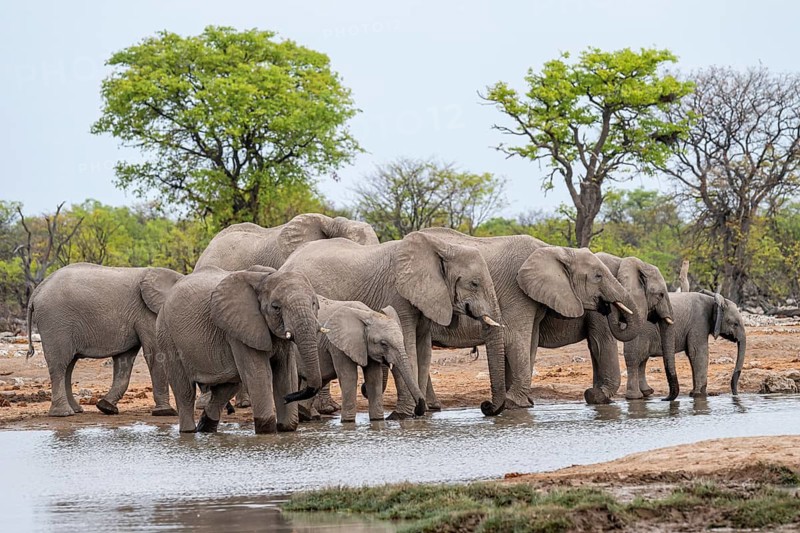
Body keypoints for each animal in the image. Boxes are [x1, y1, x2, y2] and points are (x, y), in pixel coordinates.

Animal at [26, 263, 182, 417]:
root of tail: (37, 291)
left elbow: (124, 360)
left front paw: (106, 407)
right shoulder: (146, 312)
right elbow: (156, 354)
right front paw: (166, 412)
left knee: (68, 366)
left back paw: (76, 410)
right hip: (56, 322)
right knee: (59, 363)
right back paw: (63, 413)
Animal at [151, 266, 323, 434]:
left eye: (314, 304)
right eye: (276, 307)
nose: (288, 398)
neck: (264, 278)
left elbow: (286, 374)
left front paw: (286, 427)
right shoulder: (239, 330)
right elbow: (260, 375)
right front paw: (266, 431)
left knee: (225, 390)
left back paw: (205, 430)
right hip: (166, 335)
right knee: (185, 391)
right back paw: (189, 431)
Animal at [281, 231, 503, 418]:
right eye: (474, 284)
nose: (486, 406)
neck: (443, 247)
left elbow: (423, 353)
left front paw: (419, 414)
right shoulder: (398, 295)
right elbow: (409, 348)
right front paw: (403, 415)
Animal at [421, 228, 640, 413]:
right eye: (598, 276)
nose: (485, 405)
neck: (554, 250)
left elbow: (531, 341)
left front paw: (519, 403)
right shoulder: (516, 290)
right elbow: (517, 338)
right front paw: (516, 403)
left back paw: (431, 407)